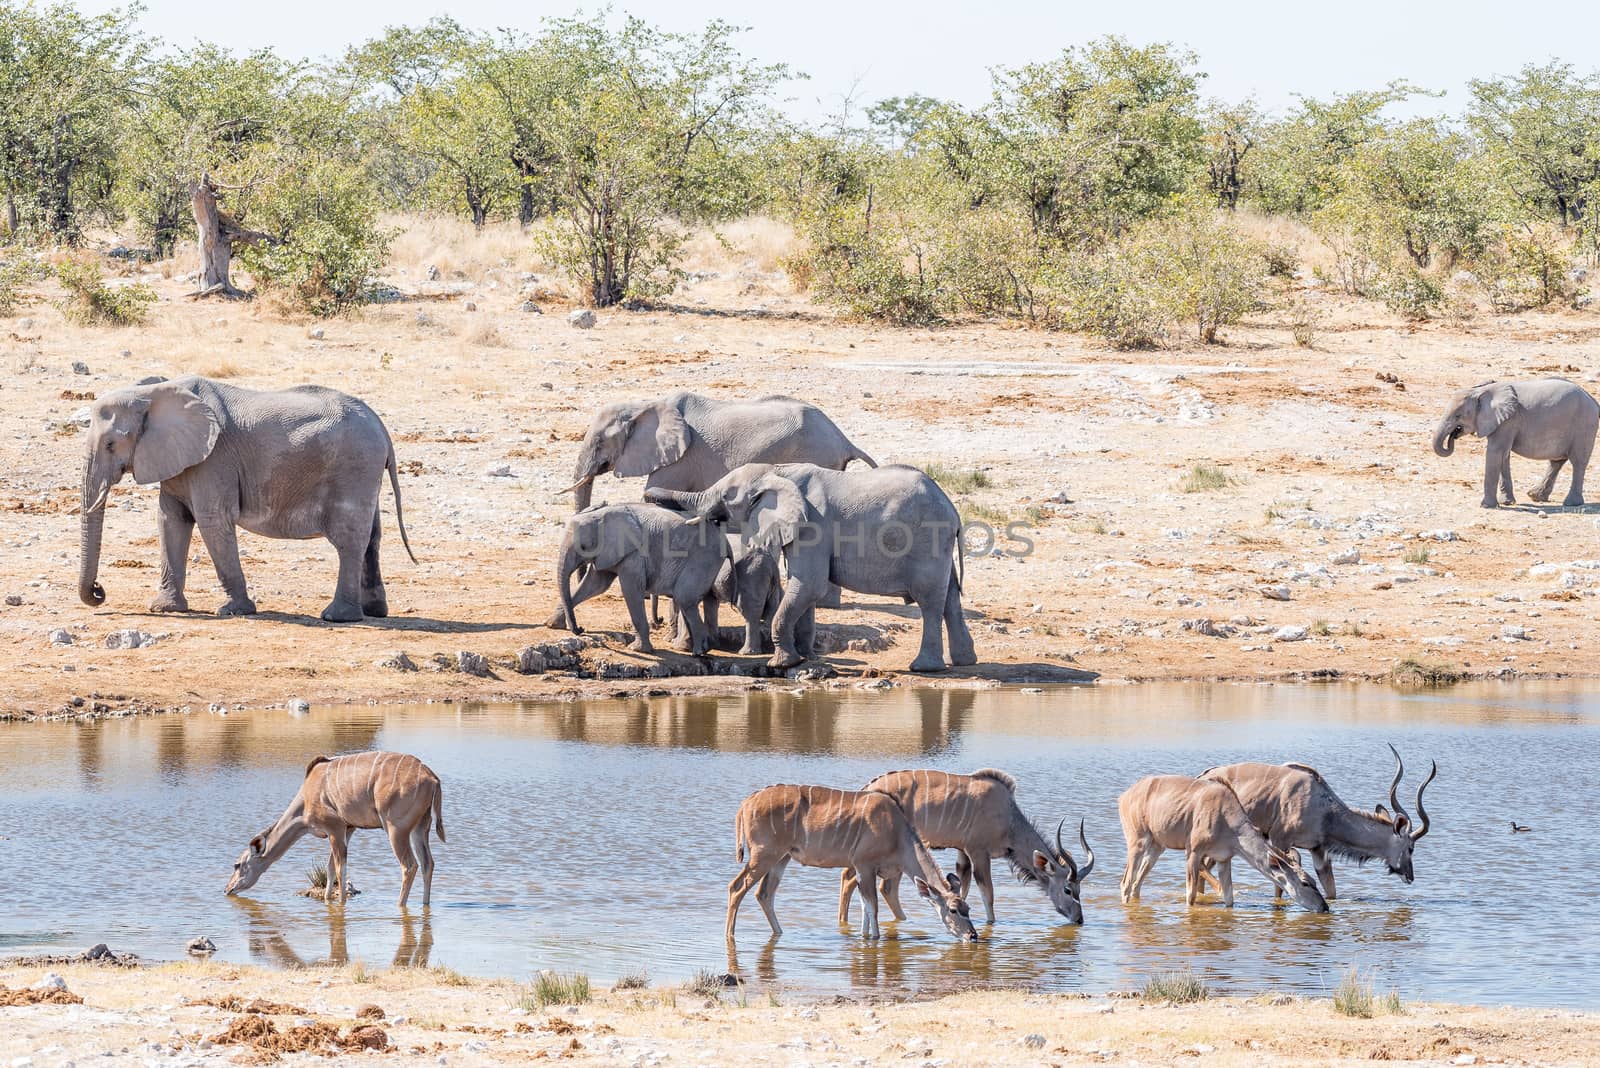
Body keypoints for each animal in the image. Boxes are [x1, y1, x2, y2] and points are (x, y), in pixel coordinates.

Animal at [78, 377, 416, 620]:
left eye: (110, 444)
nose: (99, 590)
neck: (151, 393)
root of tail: (382, 427)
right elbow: (170, 520)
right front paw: (165, 609)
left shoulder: (214, 460)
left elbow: (212, 521)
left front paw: (233, 611)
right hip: (363, 472)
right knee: (372, 538)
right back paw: (375, 612)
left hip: (354, 469)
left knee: (349, 539)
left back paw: (338, 617)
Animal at [550, 502, 726, 658]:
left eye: (584, 547)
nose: (580, 628)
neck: (601, 515)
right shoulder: (608, 553)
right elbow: (595, 585)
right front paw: (552, 624)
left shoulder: (634, 554)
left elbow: (630, 590)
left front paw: (638, 650)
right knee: (686, 600)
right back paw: (700, 649)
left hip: (704, 558)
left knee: (684, 598)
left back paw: (699, 652)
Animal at [563, 390, 876, 511]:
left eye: (600, 443)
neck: (645, 404)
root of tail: (843, 439)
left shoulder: (680, 459)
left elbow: (653, 491)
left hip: (816, 455)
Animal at [646, 463, 972, 671]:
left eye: (726, 497)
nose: (648, 497)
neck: (778, 472)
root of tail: (954, 512)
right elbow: (804, 590)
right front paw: (807, 658)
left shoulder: (813, 526)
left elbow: (809, 585)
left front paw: (781, 663)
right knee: (950, 598)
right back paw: (961, 662)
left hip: (928, 542)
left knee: (930, 600)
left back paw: (924, 668)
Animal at [1433, 375, 1593, 508]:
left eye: (1458, 416)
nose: (1454, 434)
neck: (1480, 391)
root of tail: (1591, 399)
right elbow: (1504, 456)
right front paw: (1507, 502)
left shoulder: (1508, 421)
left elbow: (1495, 453)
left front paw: (1487, 506)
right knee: (1556, 462)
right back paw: (1536, 496)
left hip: (1583, 426)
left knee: (1578, 462)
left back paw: (1571, 503)